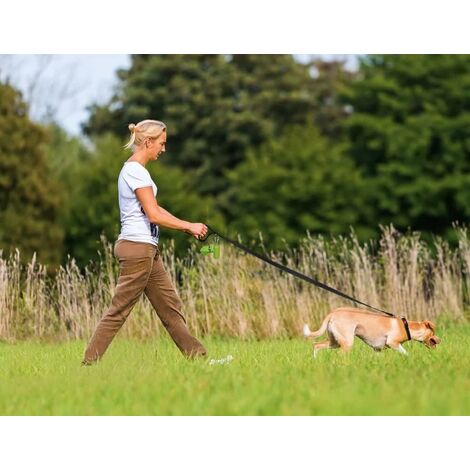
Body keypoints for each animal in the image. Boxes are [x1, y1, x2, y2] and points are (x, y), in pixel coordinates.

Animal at [304, 306, 440, 358]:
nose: (440, 340)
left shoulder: (377, 350)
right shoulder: (393, 343)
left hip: (335, 342)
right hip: (347, 342)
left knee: (316, 345)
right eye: (433, 333)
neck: (406, 326)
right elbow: (406, 353)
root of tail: (333, 313)